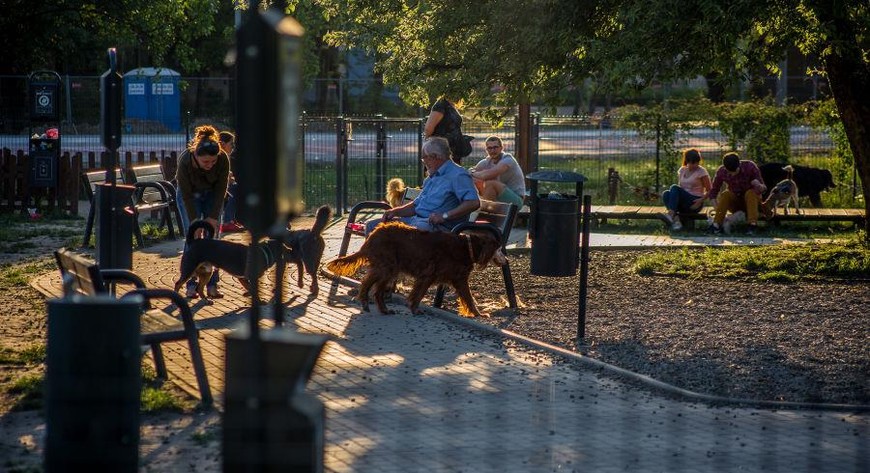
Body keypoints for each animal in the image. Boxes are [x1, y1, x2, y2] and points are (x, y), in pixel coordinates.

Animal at [175, 206, 332, 302]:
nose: (291, 249)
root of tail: (192, 241)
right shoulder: (247, 277)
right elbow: (252, 289)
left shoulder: (246, 277)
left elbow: (251, 288)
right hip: (192, 270)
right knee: (181, 284)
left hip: (206, 272)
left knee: (199, 288)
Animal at [328, 221, 508, 318]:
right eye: (499, 249)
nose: (506, 261)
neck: (467, 247)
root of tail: (373, 234)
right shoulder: (432, 276)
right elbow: (420, 295)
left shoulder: (452, 279)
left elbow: (468, 299)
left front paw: (477, 314)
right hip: (387, 267)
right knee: (368, 285)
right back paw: (366, 303)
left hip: (390, 269)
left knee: (376, 290)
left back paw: (383, 309)